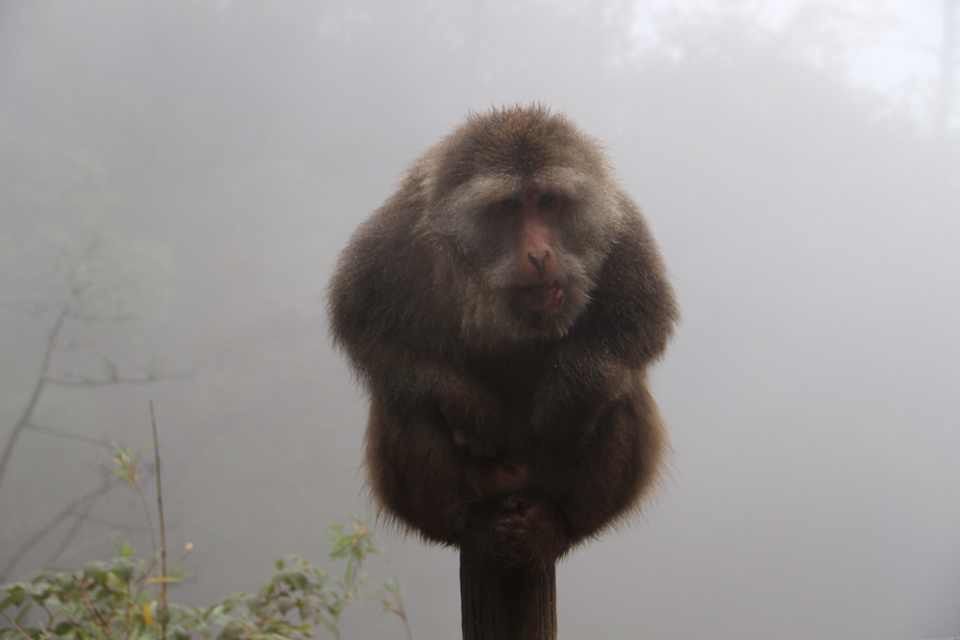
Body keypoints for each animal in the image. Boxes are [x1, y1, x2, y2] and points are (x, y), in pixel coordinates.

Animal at [326, 102, 680, 568]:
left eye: (548, 202)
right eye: (508, 208)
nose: (539, 255)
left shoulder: (619, 223)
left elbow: (642, 318)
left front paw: (568, 395)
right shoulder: (402, 230)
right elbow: (362, 319)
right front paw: (469, 407)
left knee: (618, 391)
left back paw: (558, 522)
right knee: (407, 400)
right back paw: (462, 518)